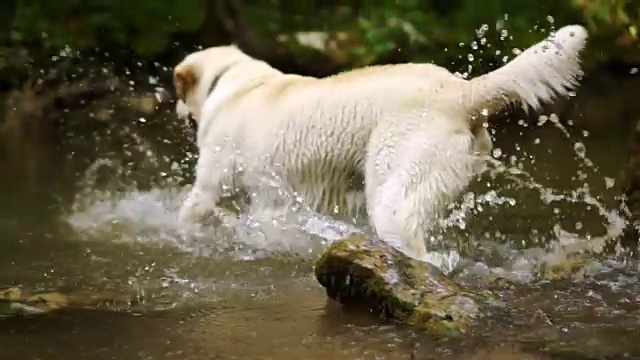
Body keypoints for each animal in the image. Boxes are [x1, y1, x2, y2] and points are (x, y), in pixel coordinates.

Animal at [172, 26, 588, 262]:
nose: (176, 108)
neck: (237, 81)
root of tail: (462, 92)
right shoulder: (276, 202)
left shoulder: (211, 185)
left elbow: (190, 212)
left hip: (393, 195)